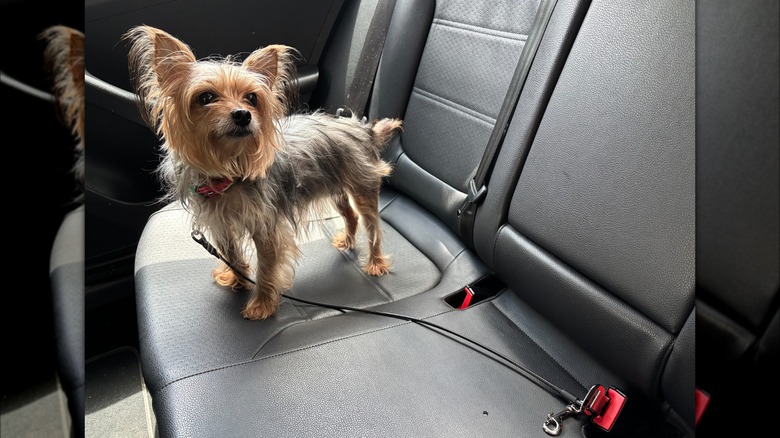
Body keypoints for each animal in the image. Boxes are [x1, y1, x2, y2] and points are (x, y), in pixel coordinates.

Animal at [123, 25, 402, 320]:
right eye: (206, 97)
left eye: (251, 98)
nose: (243, 114)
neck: (228, 172)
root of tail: (365, 129)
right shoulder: (221, 224)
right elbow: (232, 254)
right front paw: (238, 279)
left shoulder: (266, 226)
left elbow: (267, 266)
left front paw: (262, 304)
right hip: (333, 185)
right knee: (350, 215)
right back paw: (347, 241)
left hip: (362, 184)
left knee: (372, 226)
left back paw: (376, 263)